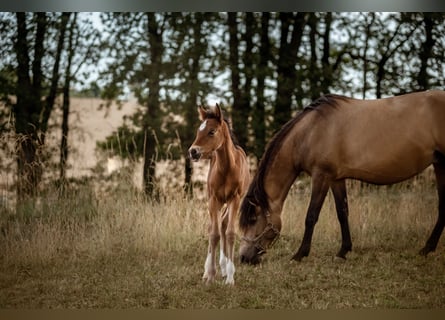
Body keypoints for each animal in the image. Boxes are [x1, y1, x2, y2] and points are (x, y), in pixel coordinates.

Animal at [188, 104, 250, 284]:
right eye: (198, 131)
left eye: (212, 131)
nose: (193, 152)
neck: (227, 168)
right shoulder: (214, 199)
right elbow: (214, 234)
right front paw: (210, 275)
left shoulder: (234, 199)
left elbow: (230, 233)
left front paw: (230, 277)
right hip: (214, 201)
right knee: (213, 227)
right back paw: (209, 270)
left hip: (227, 202)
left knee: (223, 223)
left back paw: (224, 267)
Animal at [239, 90, 445, 264]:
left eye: (253, 219)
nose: (243, 258)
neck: (311, 132)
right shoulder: (336, 179)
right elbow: (342, 212)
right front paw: (343, 251)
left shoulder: (321, 176)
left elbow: (311, 215)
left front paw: (300, 254)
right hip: (439, 164)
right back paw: (427, 248)